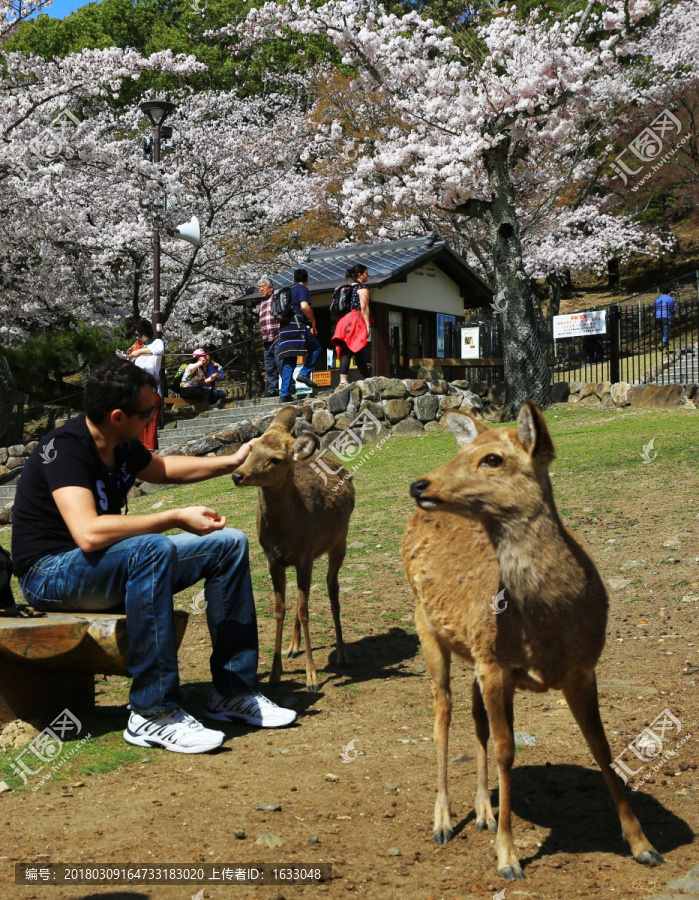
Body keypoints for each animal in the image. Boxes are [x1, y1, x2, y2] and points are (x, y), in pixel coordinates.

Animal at [234, 404, 356, 692]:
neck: (283, 534)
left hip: (340, 540)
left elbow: (304, 610)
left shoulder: (305, 556)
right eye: (251, 447)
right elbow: (282, 609)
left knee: (332, 590)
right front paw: (274, 673)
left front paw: (312, 678)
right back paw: (293, 647)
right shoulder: (274, 560)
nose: (237, 475)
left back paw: (343, 654)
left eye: (276, 459)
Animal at [402, 406, 664, 880]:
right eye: (462, 452)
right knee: (442, 713)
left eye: (492, 458)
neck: (547, 627)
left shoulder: (581, 667)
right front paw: (508, 858)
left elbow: (600, 745)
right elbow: (507, 750)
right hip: (426, 626)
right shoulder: (497, 666)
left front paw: (642, 844)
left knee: (474, 716)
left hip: (474, 652)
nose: (420, 484)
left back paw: (483, 813)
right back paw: (444, 822)